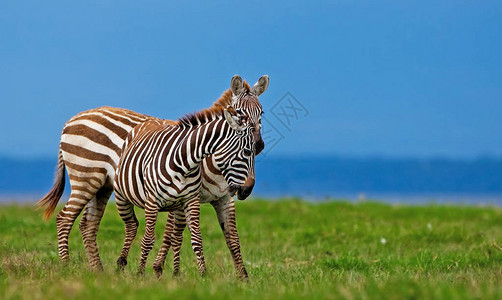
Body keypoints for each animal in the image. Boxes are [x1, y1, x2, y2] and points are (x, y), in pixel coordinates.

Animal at [113, 104, 255, 276]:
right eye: (247, 152)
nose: (247, 191)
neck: (184, 163)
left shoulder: (191, 201)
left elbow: (197, 239)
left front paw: (203, 275)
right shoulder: (152, 202)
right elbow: (148, 239)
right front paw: (140, 273)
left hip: (176, 206)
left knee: (170, 234)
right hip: (121, 196)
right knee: (131, 226)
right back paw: (121, 263)